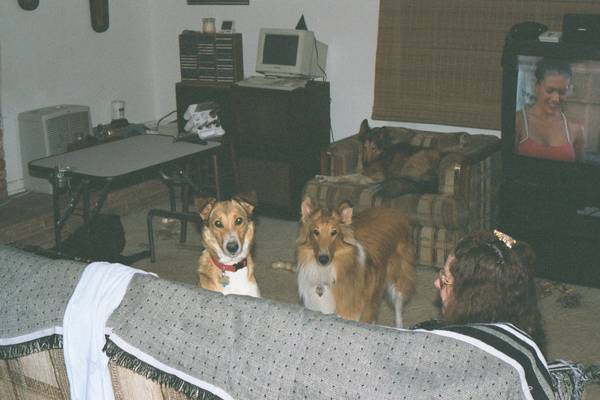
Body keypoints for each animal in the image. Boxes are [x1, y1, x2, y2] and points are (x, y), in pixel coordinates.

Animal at [296, 195, 418, 326]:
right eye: (315, 232)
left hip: (398, 282)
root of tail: (393, 210)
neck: (326, 273)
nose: (323, 259)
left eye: (334, 232)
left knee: (398, 310)